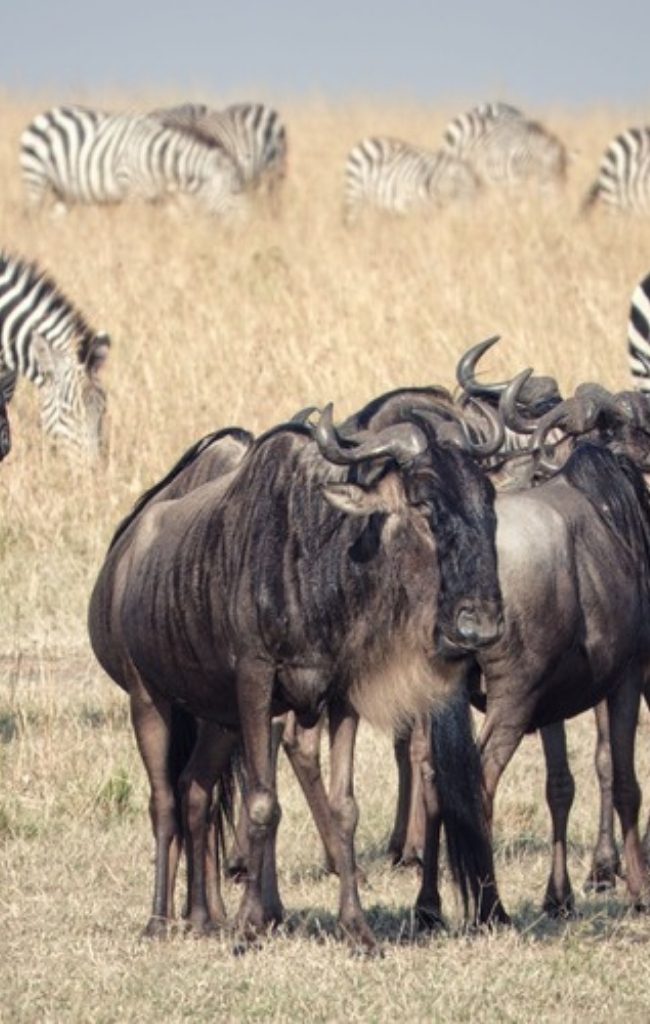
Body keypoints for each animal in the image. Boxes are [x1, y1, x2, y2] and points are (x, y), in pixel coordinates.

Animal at [20, 105, 244, 215]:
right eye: (234, 191)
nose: (246, 227)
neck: (158, 159)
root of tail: (46, 114)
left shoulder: (159, 198)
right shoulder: (132, 193)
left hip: (63, 191)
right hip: (35, 178)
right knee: (32, 215)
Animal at [343, 137, 480, 224]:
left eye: (474, 193)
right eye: (457, 191)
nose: (467, 220)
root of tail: (366, 141)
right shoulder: (413, 206)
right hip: (354, 194)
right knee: (352, 219)